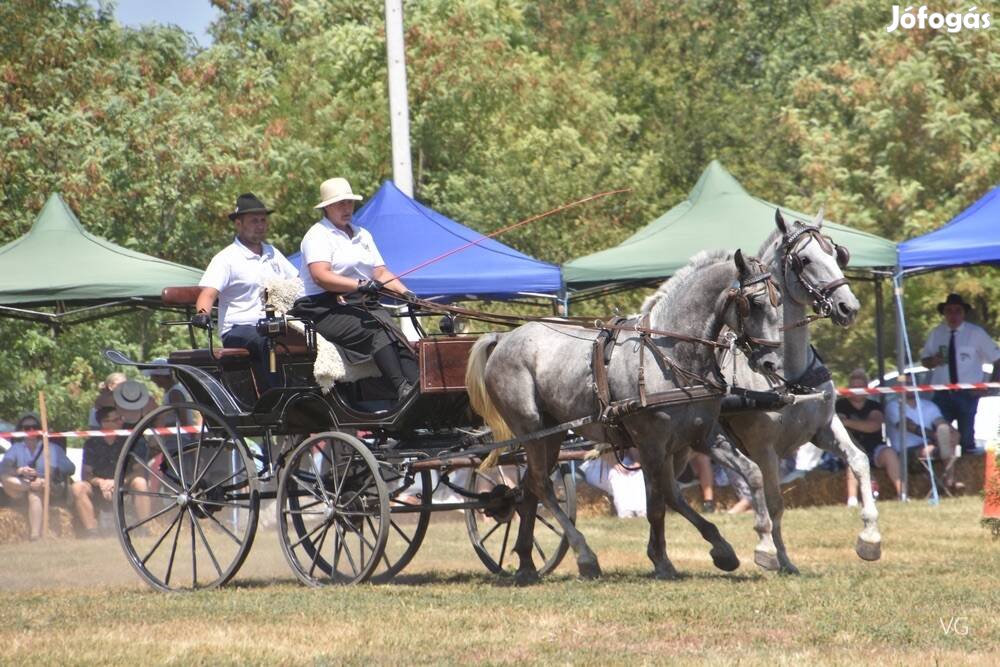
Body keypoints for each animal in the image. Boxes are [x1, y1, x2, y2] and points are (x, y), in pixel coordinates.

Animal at [464, 250, 784, 584]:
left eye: (778, 299)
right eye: (754, 302)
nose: (771, 363)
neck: (670, 355)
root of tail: (503, 338)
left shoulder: (702, 437)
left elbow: (752, 474)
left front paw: (760, 547)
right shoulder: (651, 443)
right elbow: (655, 505)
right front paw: (662, 561)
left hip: (550, 434)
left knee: (528, 488)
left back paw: (526, 564)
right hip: (532, 429)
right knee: (541, 485)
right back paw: (584, 556)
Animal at [716, 211, 880, 576]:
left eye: (837, 254)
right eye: (804, 260)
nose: (848, 307)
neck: (784, 373)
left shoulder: (823, 428)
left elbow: (860, 461)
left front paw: (870, 537)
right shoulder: (763, 448)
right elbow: (775, 502)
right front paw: (773, 555)